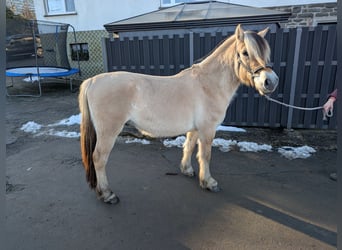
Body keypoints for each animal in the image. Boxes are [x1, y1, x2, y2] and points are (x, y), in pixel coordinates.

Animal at [79, 24, 278, 203]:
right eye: (245, 52)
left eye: (266, 53)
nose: (270, 81)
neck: (208, 84)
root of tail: (92, 80)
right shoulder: (207, 129)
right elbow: (205, 155)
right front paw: (209, 182)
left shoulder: (195, 129)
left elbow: (189, 147)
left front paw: (187, 170)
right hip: (108, 132)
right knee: (99, 158)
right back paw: (107, 194)